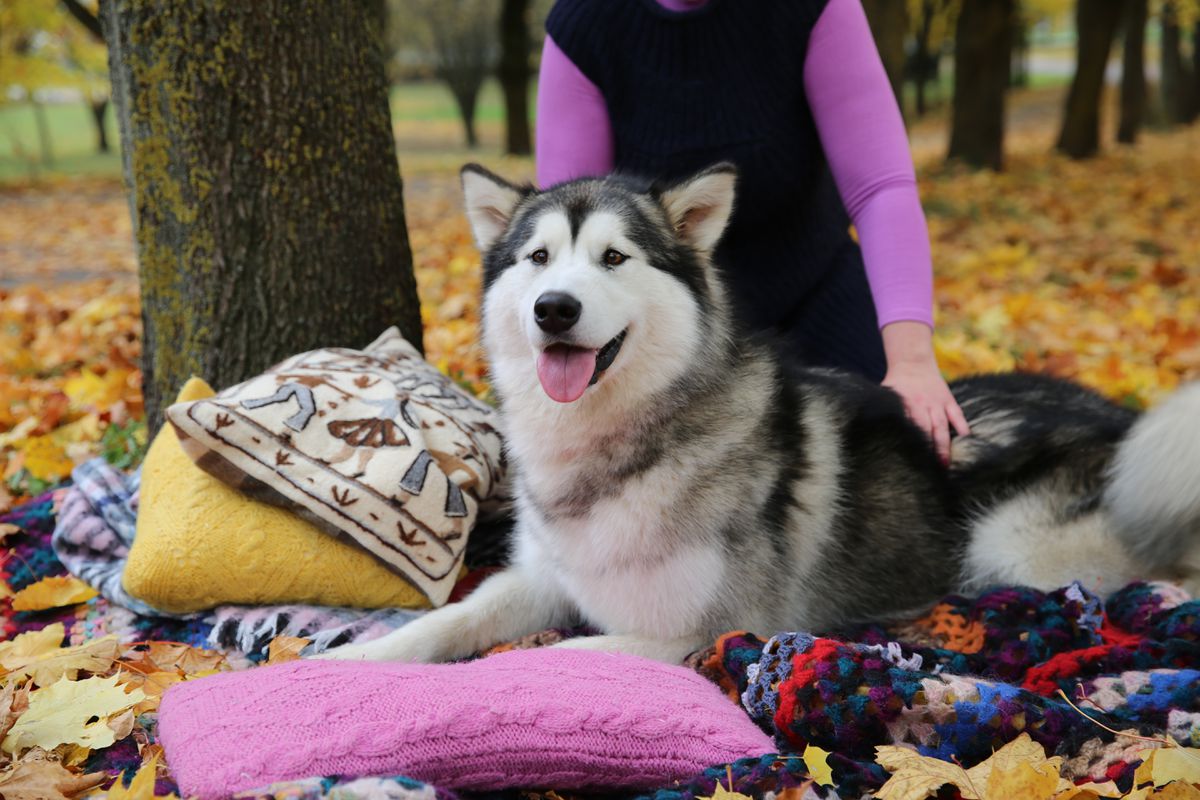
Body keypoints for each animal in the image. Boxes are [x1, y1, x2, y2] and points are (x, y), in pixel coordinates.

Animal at [324, 163, 1200, 662]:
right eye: (538, 258)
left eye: (614, 258)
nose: (554, 309)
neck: (615, 448)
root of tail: (1117, 412)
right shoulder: (541, 578)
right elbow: (440, 626)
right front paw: (334, 672)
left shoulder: (703, 630)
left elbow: (534, 661)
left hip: (1015, 546)